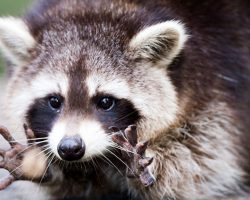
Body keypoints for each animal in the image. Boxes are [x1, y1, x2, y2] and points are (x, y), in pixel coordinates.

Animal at [0, 0, 250, 199]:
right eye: (54, 101)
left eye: (105, 102)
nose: (70, 148)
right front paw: (49, 170)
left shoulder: (215, 101)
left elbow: (196, 170)